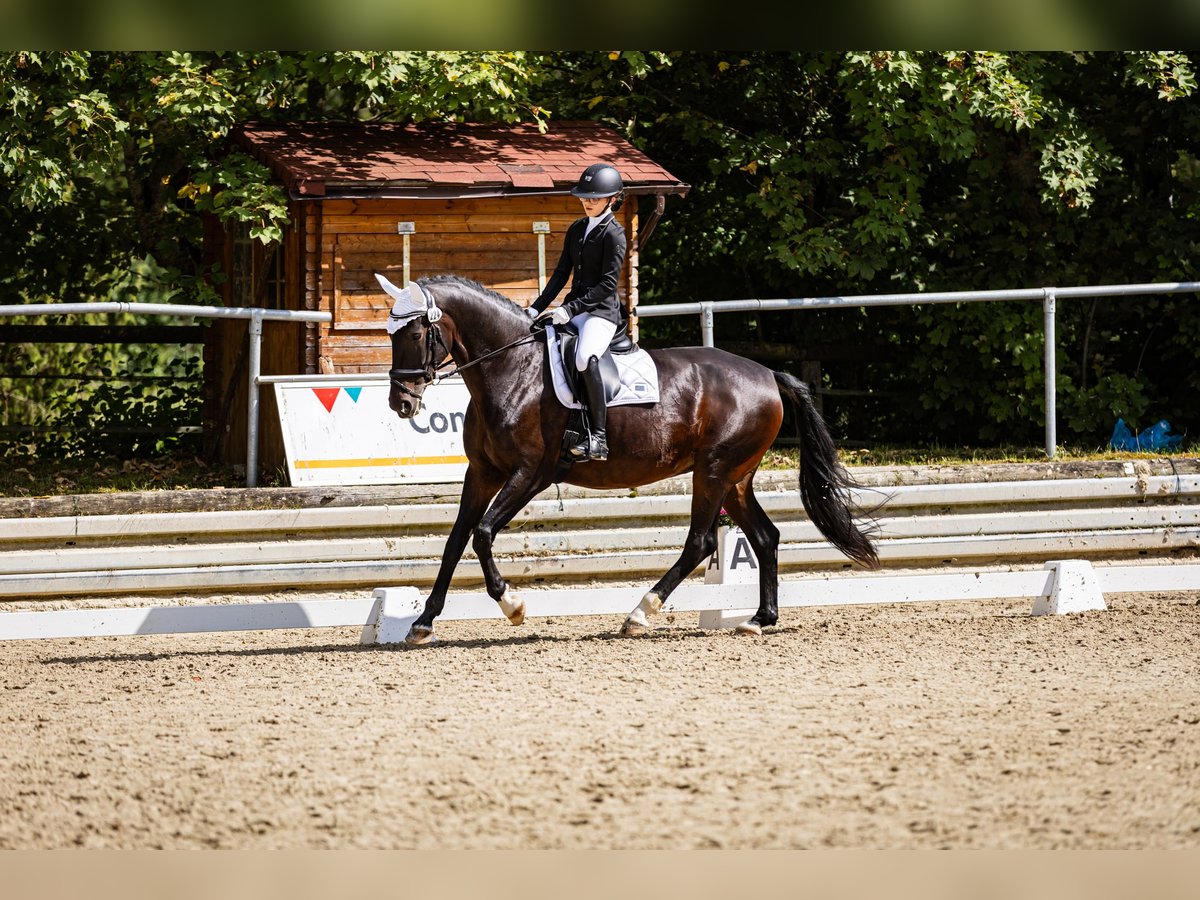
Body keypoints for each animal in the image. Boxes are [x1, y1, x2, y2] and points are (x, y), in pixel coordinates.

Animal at [384, 271, 883, 643]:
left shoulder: (531, 474)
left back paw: (640, 613)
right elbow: (455, 540)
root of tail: (766, 374)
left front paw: (513, 605)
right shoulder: (483, 473)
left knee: (701, 542)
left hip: (713, 471)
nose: (401, 403)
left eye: (416, 331)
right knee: (765, 536)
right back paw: (759, 619)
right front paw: (423, 622)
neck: (513, 370)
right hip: (734, 478)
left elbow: (483, 533)